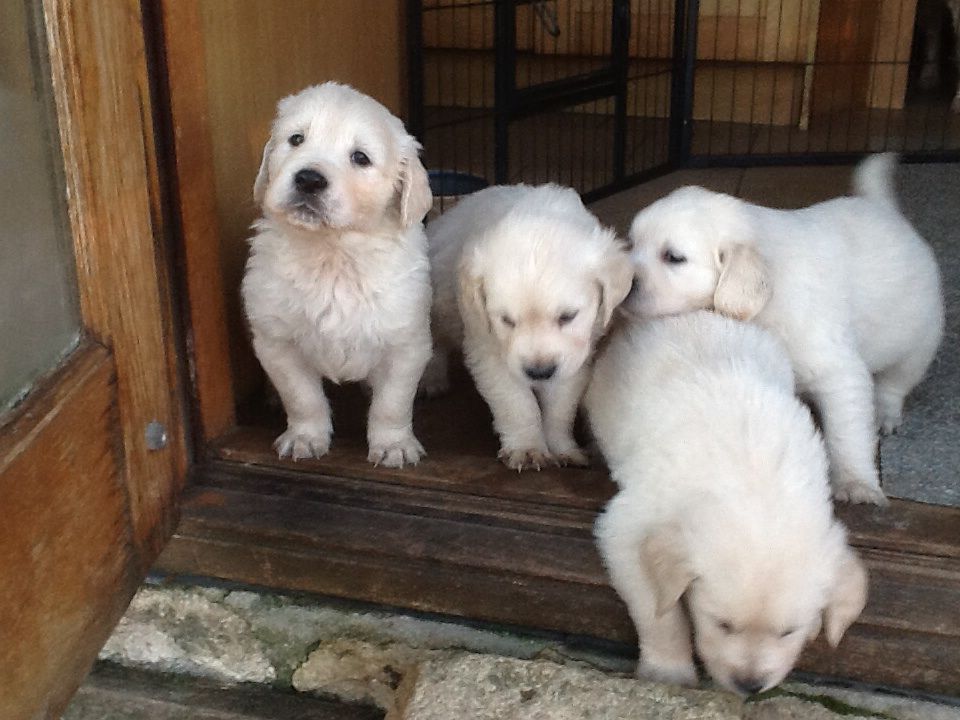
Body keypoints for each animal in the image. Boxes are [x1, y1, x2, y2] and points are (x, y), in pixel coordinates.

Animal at [242, 83, 434, 466]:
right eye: (296, 139)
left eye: (360, 158)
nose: (308, 179)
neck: (333, 253)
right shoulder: (277, 342)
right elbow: (302, 397)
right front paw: (304, 437)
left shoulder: (406, 343)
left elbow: (392, 403)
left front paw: (393, 445)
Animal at [424, 183, 632, 470]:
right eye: (506, 320)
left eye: (568, 316)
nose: (539, 372)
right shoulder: (487, 346)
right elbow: (517, 403)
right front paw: (527, 448)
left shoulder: (578, 354)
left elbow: (560, 406)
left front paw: (564, 448)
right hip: (441, 302)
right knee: (434, 338)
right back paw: (432, 380)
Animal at [584, 312, 872, 696]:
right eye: (721, 624)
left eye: (788, 632)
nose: (749, 685)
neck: (756, 479)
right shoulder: (627, 527)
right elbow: (659, 612)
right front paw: (669, 669)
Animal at [624, 155, 944, 504]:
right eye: (632, 243)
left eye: (673, 257)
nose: (624, 283)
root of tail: (885, 210)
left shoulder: (839, 371)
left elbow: (847, 433)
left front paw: (856, 483)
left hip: (920, 339)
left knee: (895, 383)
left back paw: (885, 415)